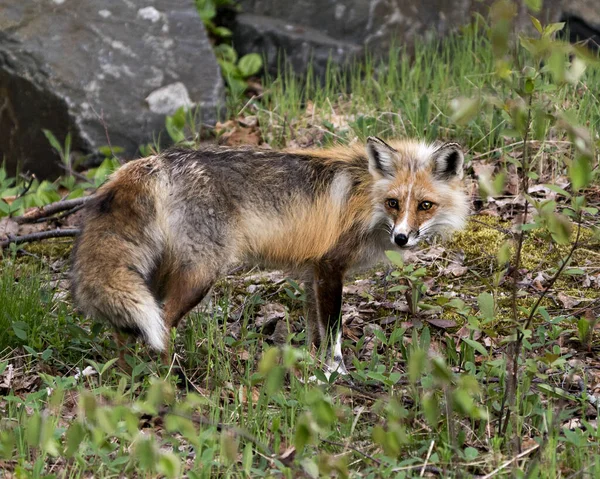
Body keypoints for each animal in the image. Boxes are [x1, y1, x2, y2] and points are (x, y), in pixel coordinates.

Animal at [71, 137, 468, 374]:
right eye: (393, 203)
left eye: (425, 205)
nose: (402, 238)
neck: (363, 196)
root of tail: (154, 160)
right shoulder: (330, 267)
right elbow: (334, 333)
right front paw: (336, 374)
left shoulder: (312, 273)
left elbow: (316, 332)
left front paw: (314, 373)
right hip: (199, 275)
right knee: (162, 325)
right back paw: (169, 377)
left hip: (153, 276)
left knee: (126, 331)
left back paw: (127, 375)